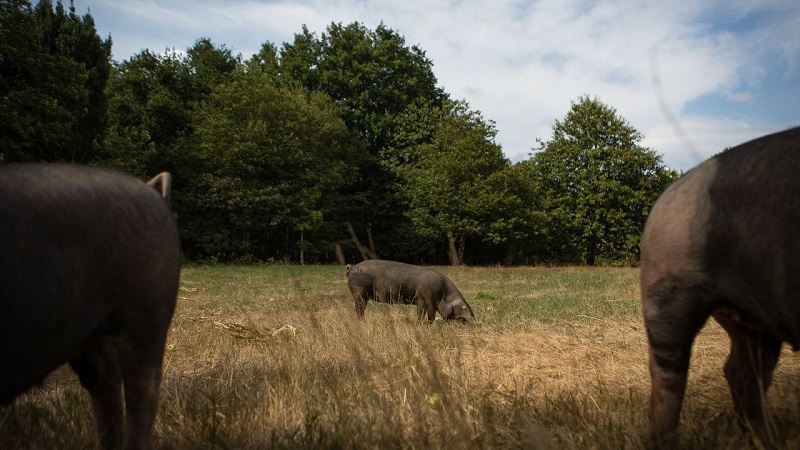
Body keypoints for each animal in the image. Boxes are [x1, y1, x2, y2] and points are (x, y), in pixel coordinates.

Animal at [346, 258, 476, 322]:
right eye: (463, 308)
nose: (471, 319)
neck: (443, 294)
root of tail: (352, 267)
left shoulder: (431, 304)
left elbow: (431, 317)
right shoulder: (422, 298)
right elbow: (421, 314)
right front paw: (419, 324)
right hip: (359, 292)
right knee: (359, 309)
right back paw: (362, 322)